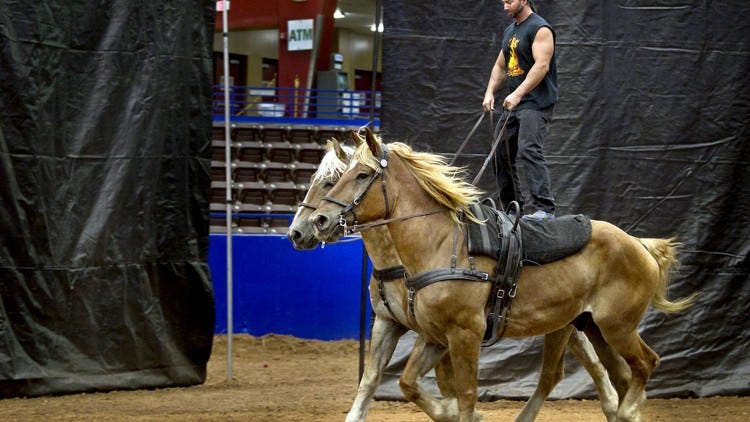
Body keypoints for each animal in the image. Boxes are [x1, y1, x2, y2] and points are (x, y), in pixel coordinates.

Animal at [309, 129, 694, 422]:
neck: (442, 245)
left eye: (361, 175)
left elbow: (466, 395)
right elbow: (407, 382)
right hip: (589, 327)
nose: (318, 221)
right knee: (613, 374)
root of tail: (639, 244)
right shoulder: (434, 336)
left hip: (617, 327)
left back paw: (626, 409)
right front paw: (447, 410)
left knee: (645, 363)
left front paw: (462, 412)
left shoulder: (465, 333)